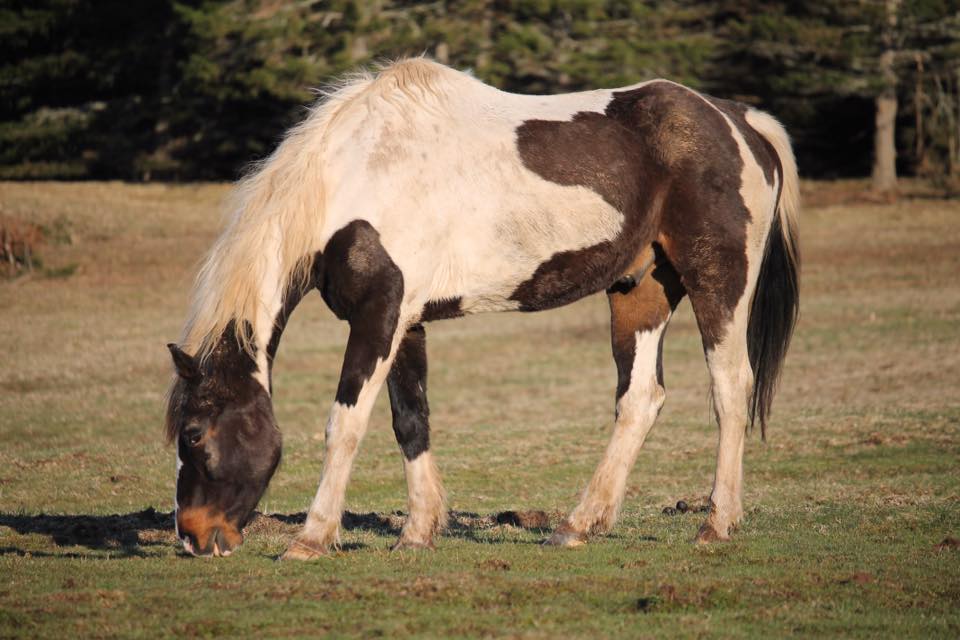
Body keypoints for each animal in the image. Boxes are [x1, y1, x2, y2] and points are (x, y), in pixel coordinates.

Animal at [167, 61, 804, 560]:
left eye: (194, 434)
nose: (193, 536)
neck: (353, 177)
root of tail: (739, 121)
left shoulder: (378, 316)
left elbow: (344, 424)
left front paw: (312, 538)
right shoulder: (404, 321)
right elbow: (410, 420)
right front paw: (418, 532)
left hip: (718, 281)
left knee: (730, 387)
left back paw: (716, 523)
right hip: (640, 290)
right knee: (640, 400)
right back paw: (578, 525)